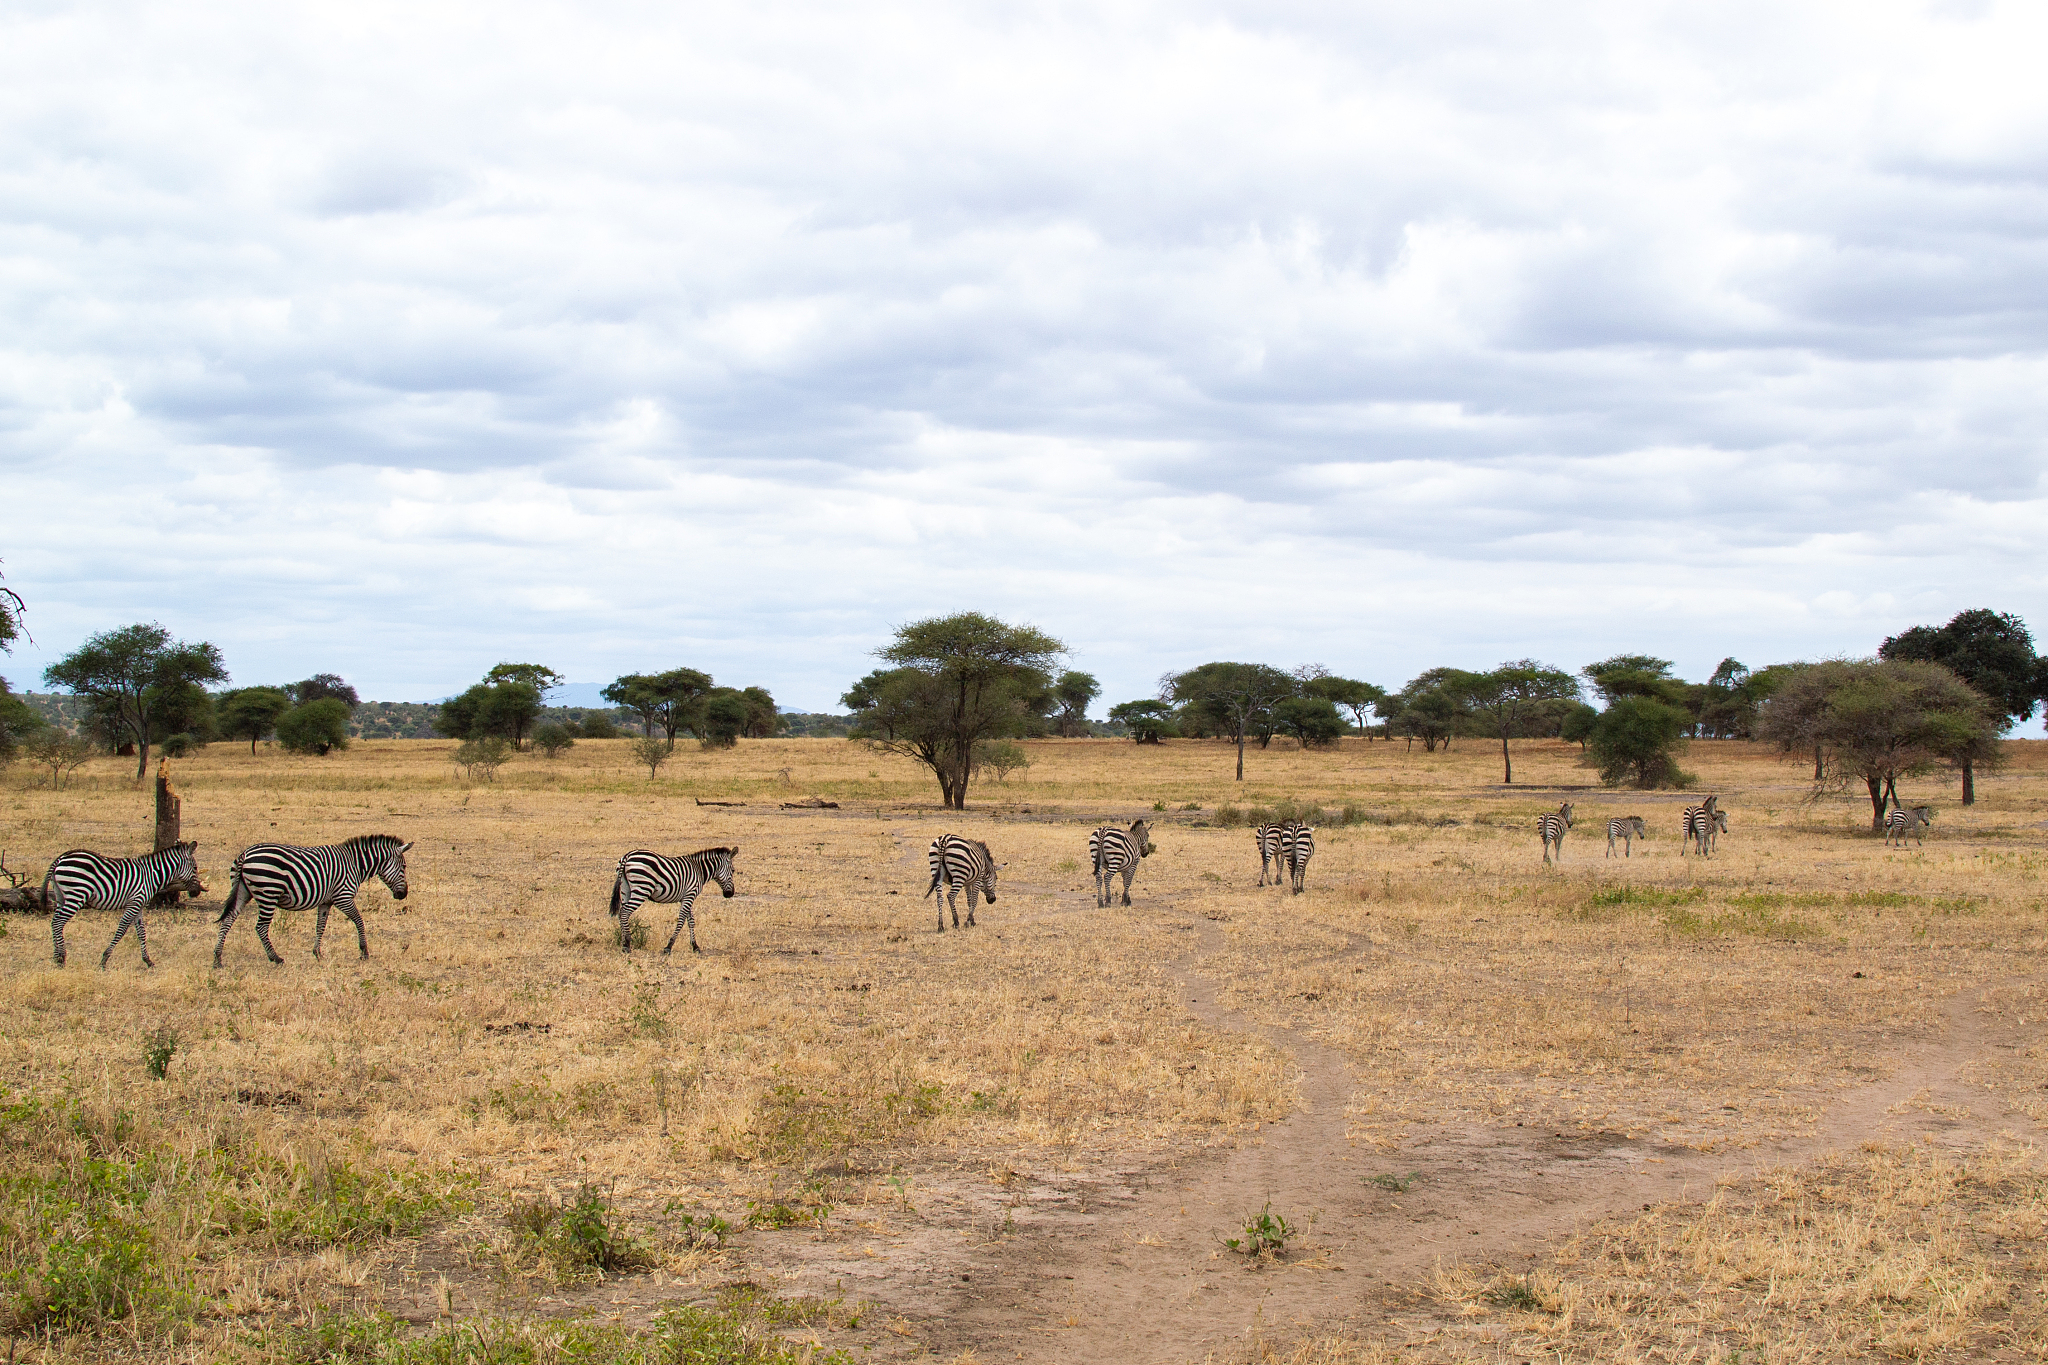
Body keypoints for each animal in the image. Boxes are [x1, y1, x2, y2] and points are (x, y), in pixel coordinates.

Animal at [42, 842, 199, 969]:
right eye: (195, 868)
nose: (197, 892)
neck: (152, 875)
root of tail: (62, 857)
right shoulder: (134, 903)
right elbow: (121, 930)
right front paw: (104, 960)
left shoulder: (139, 905)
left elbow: (141, 932)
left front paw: (148, 961)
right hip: (77, 894)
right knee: (58, 922)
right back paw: (61, 958)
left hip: (61, 896)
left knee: (54, 922)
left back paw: (56, 957)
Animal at [213, 835, 412, 967]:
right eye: (404, 867)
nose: (403, 895)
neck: (355, 864)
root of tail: (245, 854)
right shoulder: (343, 897)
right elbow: (359, 921)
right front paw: (364, 951)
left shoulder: (326, 902)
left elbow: (320, 926)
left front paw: (317, 953)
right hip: (268, 892)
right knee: (260, 927)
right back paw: (276, 958)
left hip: (242, 891)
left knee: (227, 921)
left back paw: (217, 959)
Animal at [608, 846, 738, 953]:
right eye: (733, 871)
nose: (730, 894)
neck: (699, 870)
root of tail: (628, 855)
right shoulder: (690, 894)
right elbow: (681, 920)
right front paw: (669, 946)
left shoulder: (686, 897)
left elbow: (691, 921)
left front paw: (695, 946)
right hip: (642, 888)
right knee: (625, 912)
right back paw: (627, 943)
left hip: (625, 889)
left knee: (621, 912)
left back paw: (623, 942)